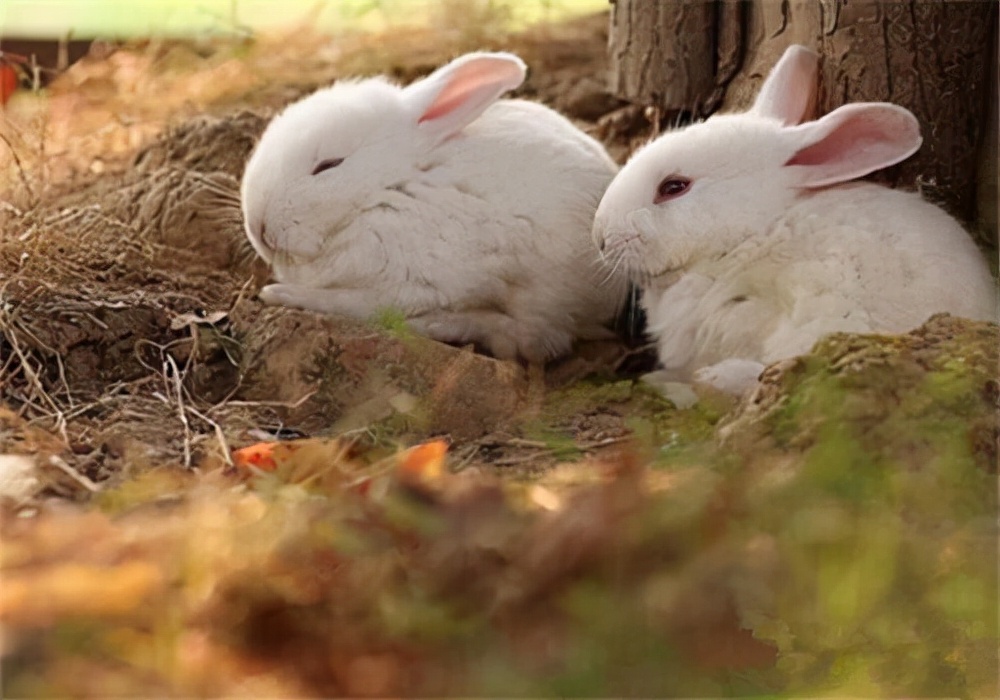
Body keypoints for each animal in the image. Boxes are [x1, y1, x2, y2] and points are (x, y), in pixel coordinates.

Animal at [240, 50, 624, 360]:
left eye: (328, 165)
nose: (259, 228)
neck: (388, 187)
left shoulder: (411, 284)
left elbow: (354, 304)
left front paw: (277, 293)